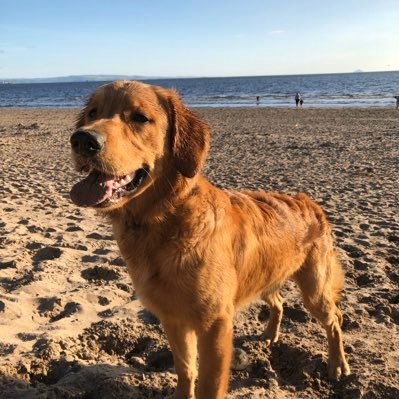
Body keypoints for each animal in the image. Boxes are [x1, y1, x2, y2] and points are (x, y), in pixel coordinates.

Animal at [70, 81, 352, 399]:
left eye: (140, 118)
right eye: (93, 113)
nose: (81, 139)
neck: (164, 220)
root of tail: (308, 202)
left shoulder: (214, 325)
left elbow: (209, 385)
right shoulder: (173, 318)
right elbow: (185, 369)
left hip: (314, 289)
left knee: (335, 319)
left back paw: (337, 364)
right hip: (267, 276)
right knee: (279, 303)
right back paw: (269, 335)